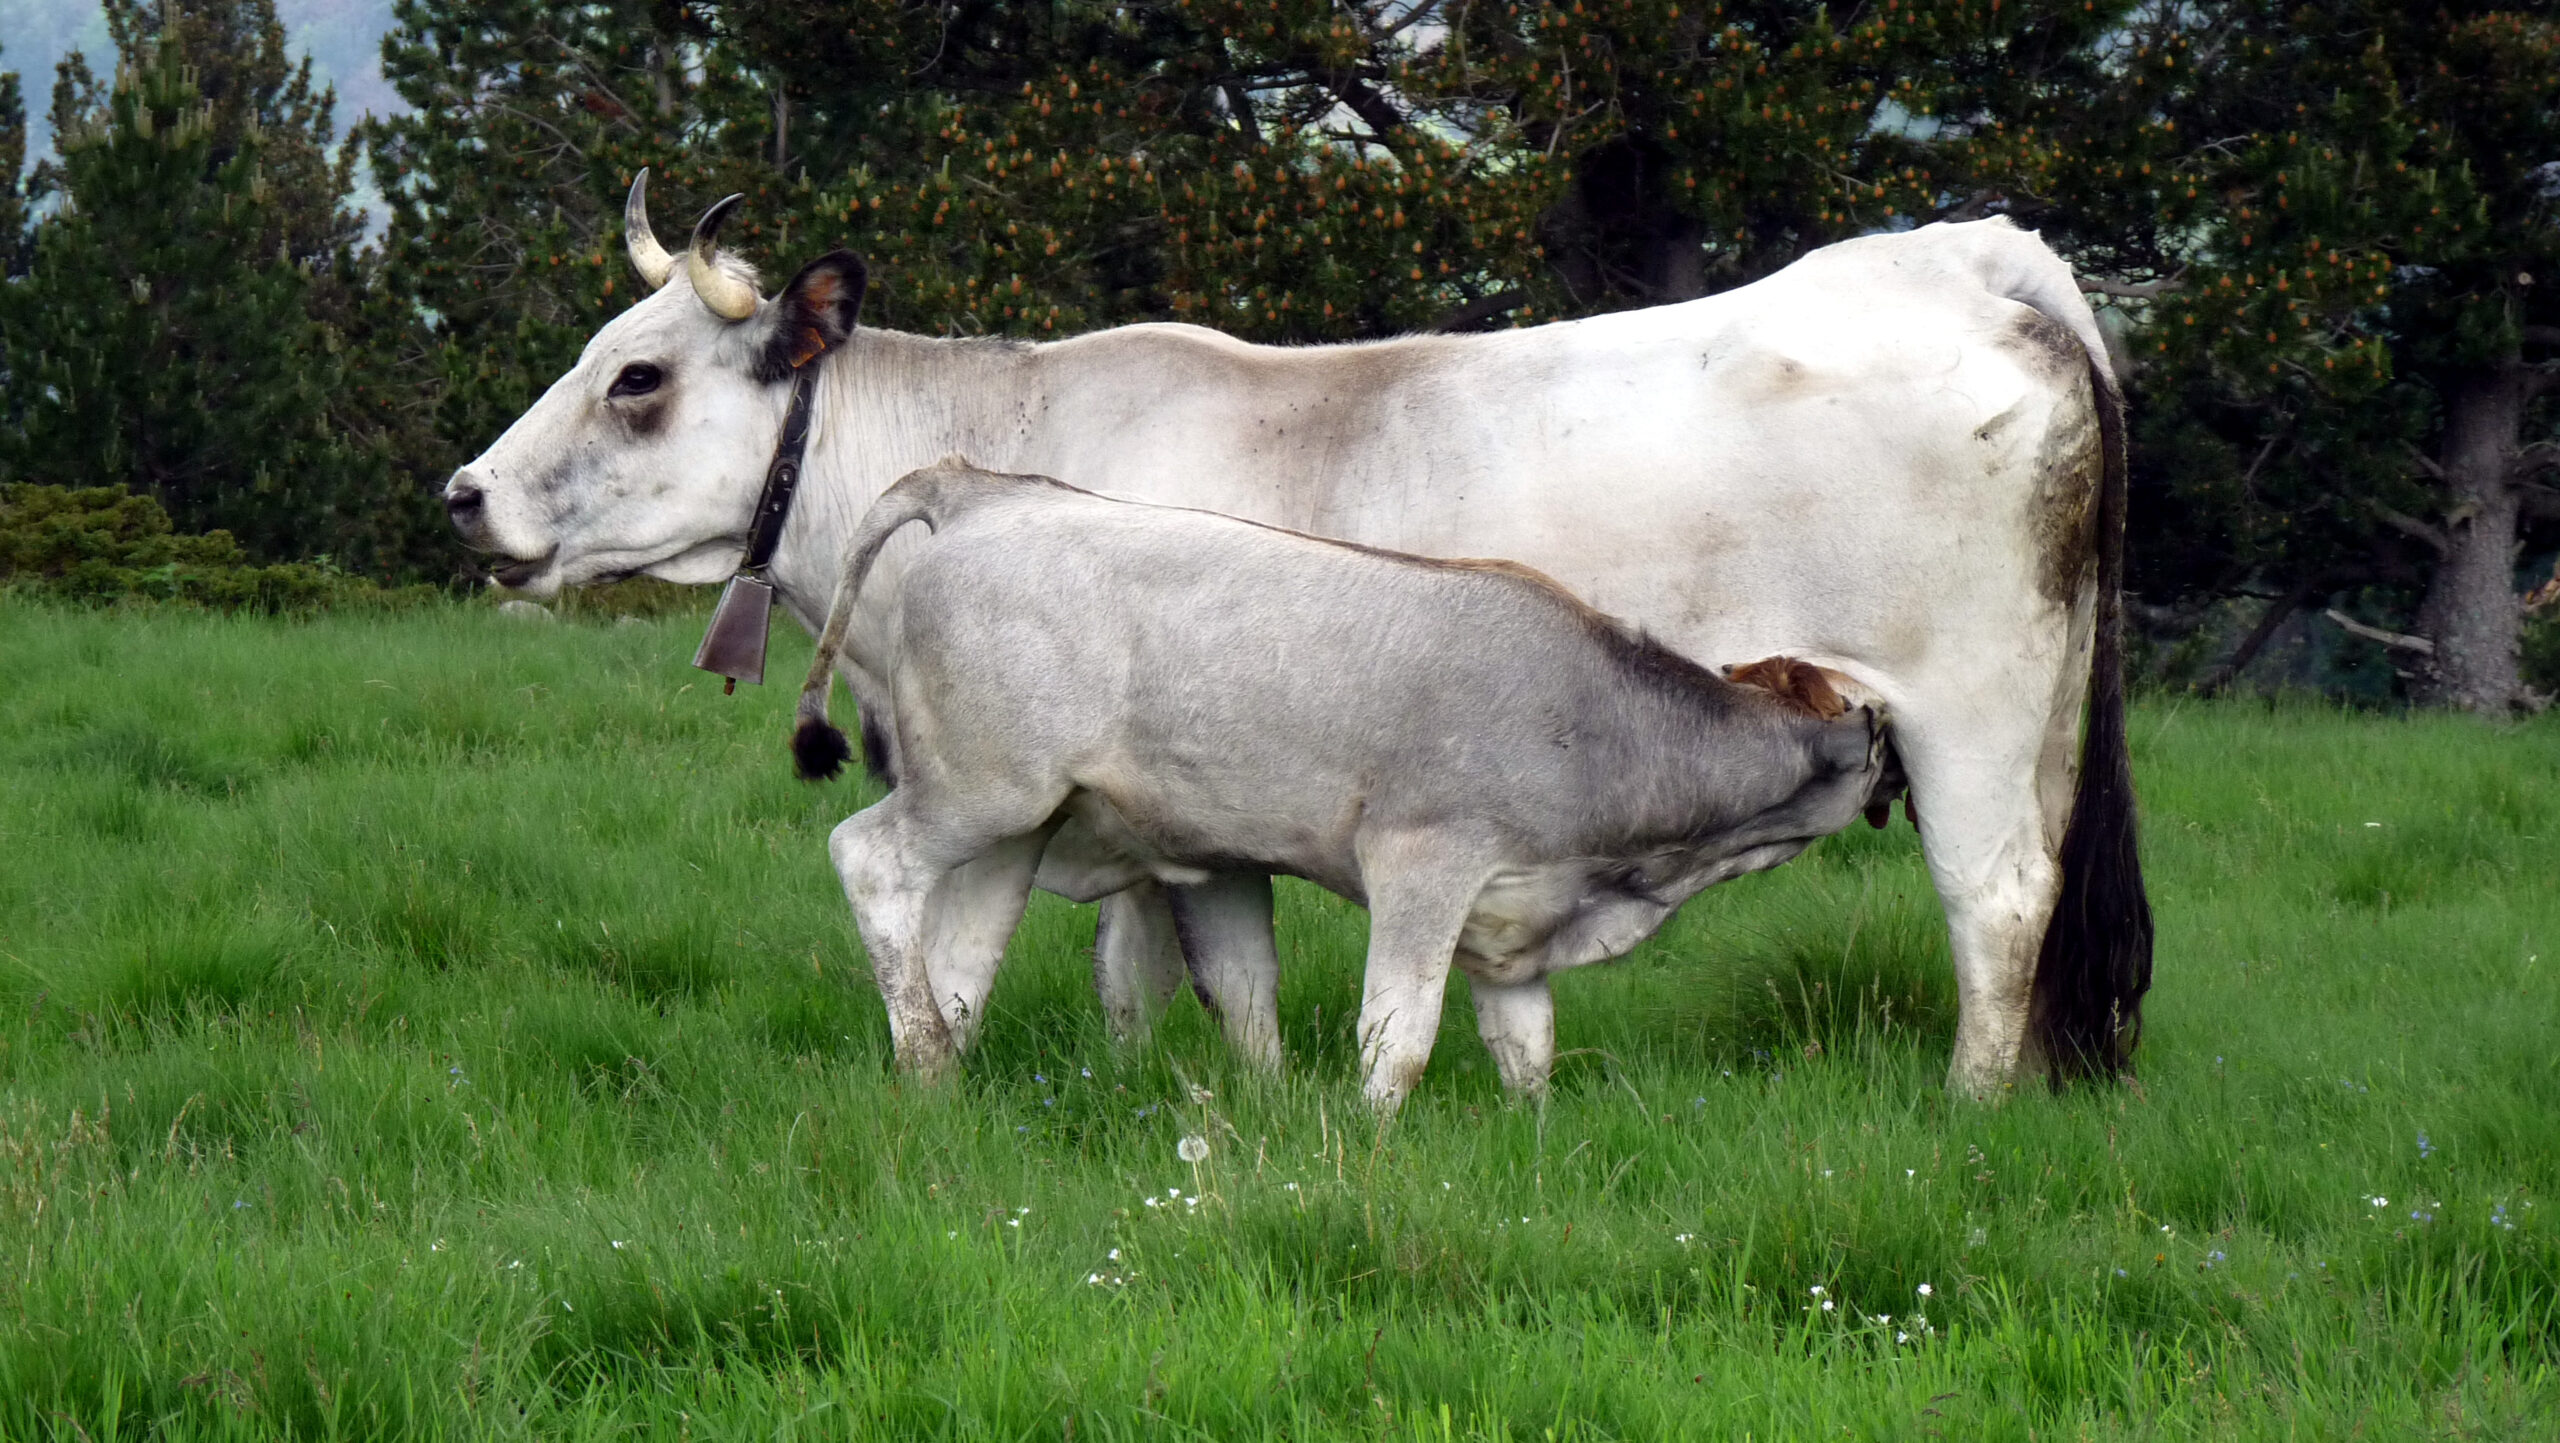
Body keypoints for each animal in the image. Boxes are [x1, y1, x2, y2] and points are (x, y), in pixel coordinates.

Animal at [789, 461, 1893, 1107]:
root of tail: (985, 488)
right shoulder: (1423, 861)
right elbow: (1395, 1038)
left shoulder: (1516, 922)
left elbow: (1528, 1051)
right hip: (981, 790)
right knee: (868, 860)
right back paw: (927, 1055)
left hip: (1019, 829)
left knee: (964, 955)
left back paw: (937, 1079)